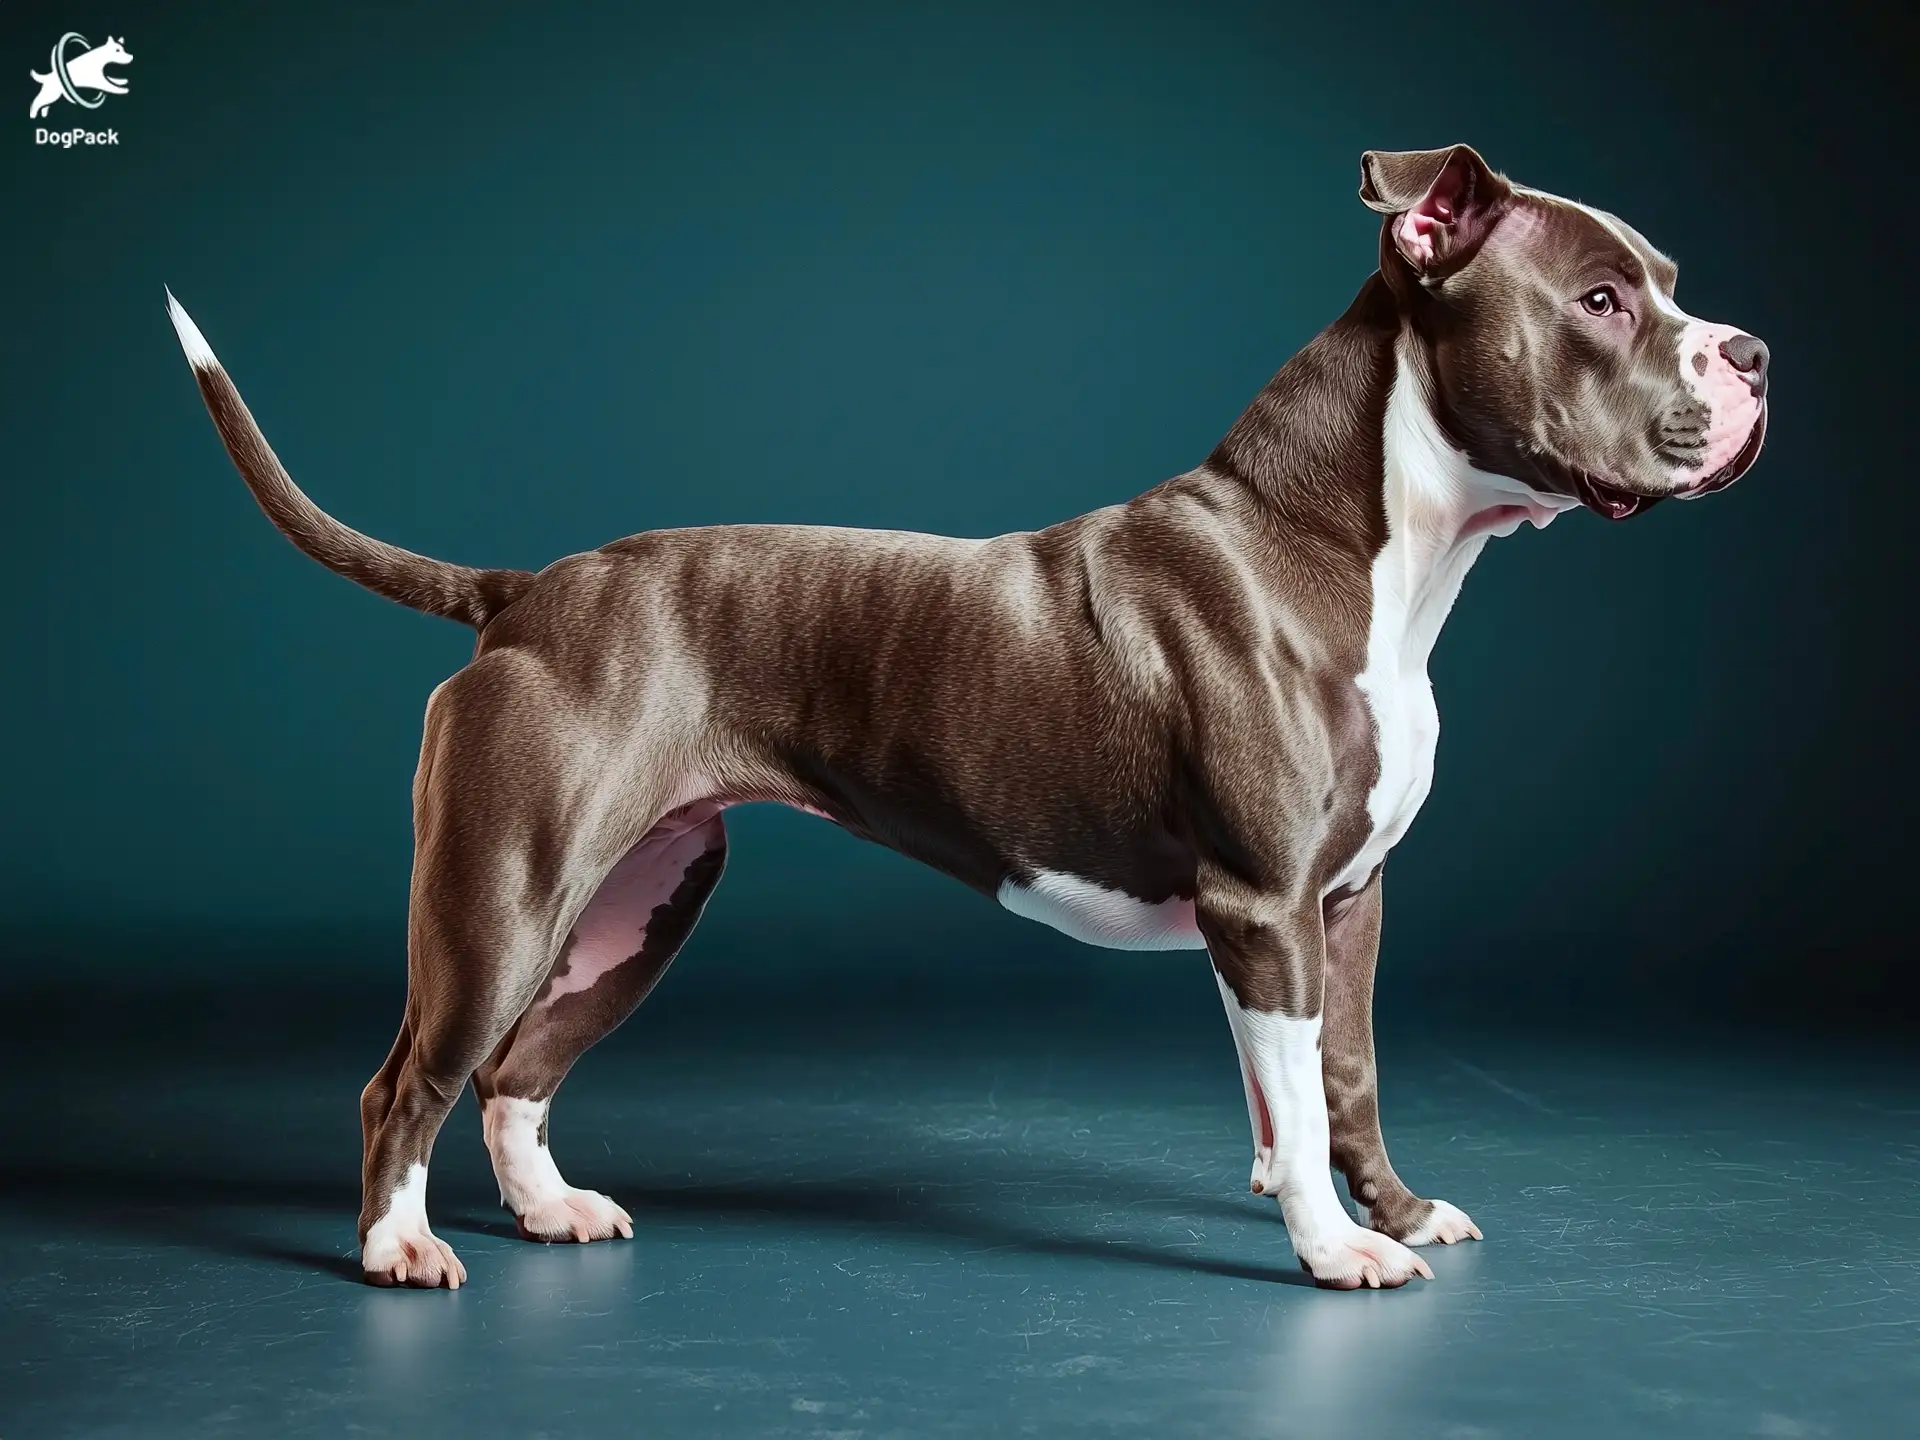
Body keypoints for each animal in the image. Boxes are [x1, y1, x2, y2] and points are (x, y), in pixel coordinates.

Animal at [165, 149, 1766, 1297]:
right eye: (1603, 303)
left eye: (1670, 284)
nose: (1751, 354)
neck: (1360, 541)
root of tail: (529, 592)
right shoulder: (1265, 906)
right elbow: (1304, 1096)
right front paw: (1333, 1249)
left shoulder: (1345, 903)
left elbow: (1338, 1081)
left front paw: (1394, 1208)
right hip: (504, 895)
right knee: (410, 1080)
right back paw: (396, 1247)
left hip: (640, 902)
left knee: (515, 1074)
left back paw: (551, 1211)